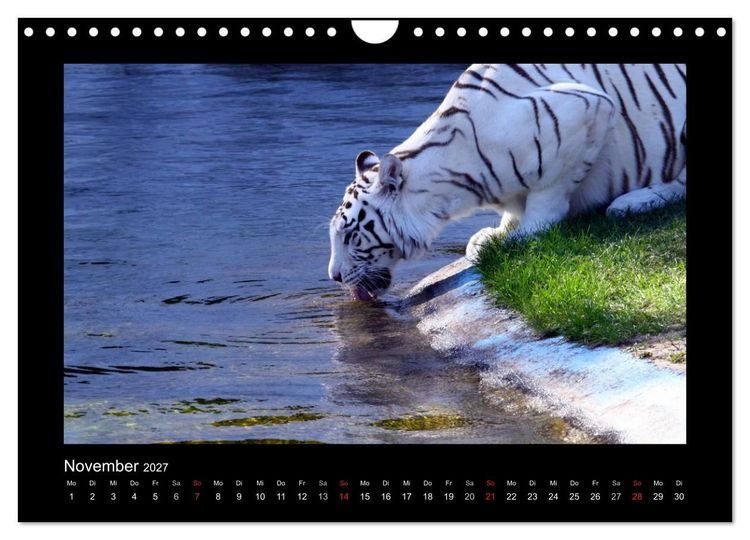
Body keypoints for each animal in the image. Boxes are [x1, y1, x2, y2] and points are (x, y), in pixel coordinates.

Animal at [328, 64, 686, 301]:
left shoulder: (585, 108)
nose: (334, 276)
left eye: (349, 236)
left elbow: (548, 196)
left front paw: (525, 234)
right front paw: (494, 235)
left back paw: (631, 203)